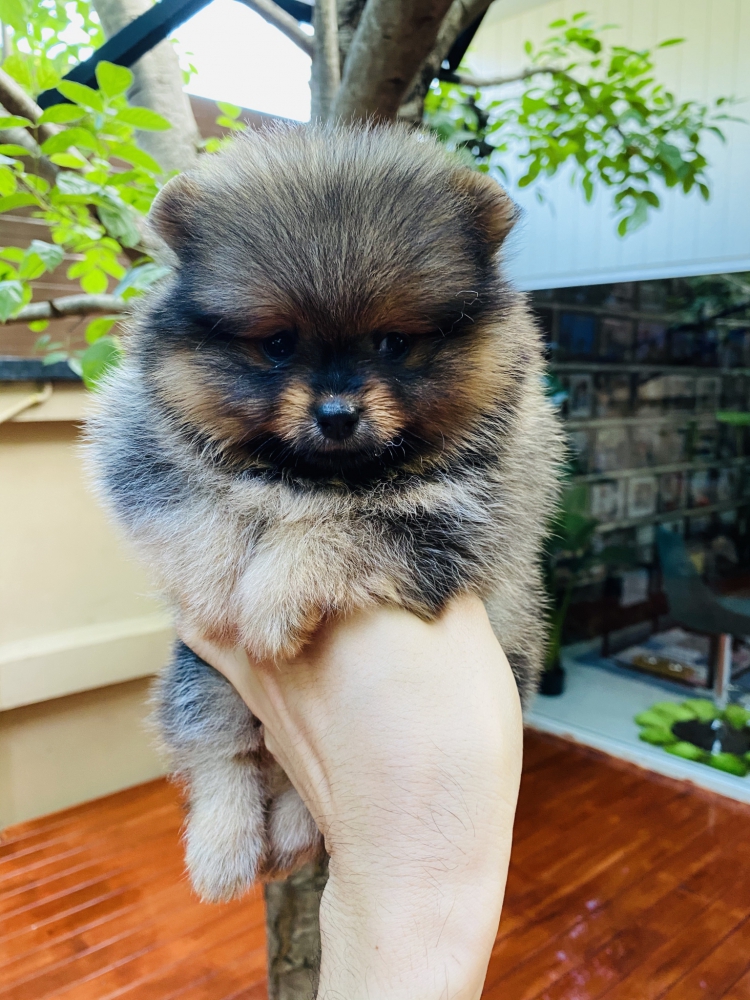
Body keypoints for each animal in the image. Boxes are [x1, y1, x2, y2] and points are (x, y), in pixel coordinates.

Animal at [87, 122, 563, 902]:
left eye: (393, 342)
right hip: (199, 676)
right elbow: (201, 513)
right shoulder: (147, 449)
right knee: (222, 755)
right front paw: (221, 580)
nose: (337, 413)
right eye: (278, 344)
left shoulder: (464, 509)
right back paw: (223, 847)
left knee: (291, 791)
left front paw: (274, 597)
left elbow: (347, 530)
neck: (315, 479)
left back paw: (284, 829)